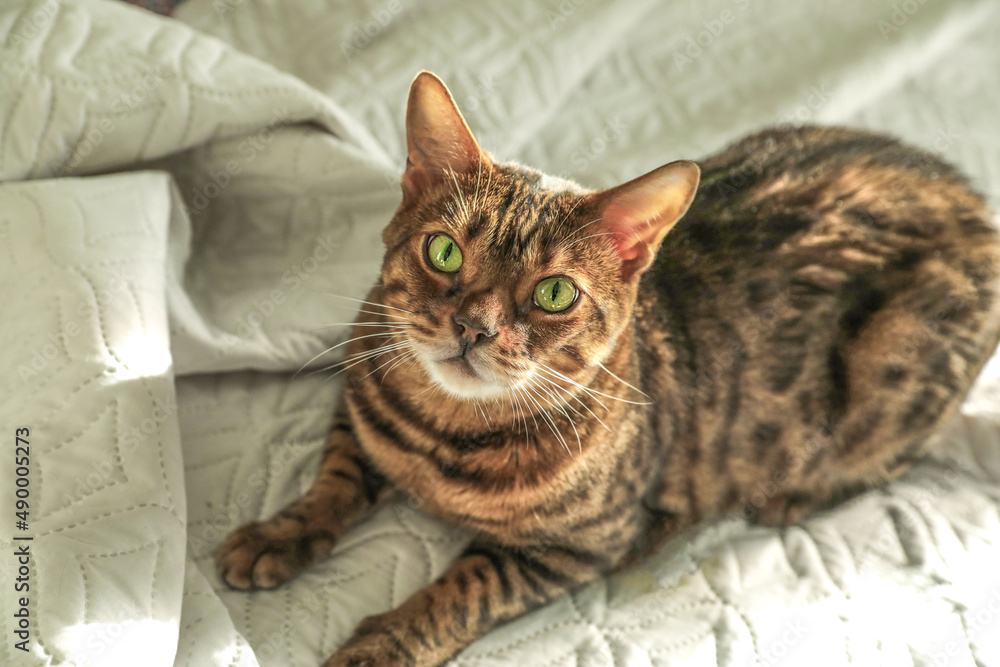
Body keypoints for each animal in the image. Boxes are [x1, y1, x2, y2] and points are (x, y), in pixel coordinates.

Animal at [213, 70, 1000, 664]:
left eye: (555, 293)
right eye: (443, 252)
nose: (473, 326)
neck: (445, 436)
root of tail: (976, 202)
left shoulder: (580, 546)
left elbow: (462, 590)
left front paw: (382, 644)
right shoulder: (358, 408)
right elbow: (336, 478)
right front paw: (279, 534)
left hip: (897, 365)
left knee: (897, 453)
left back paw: (793, 496)